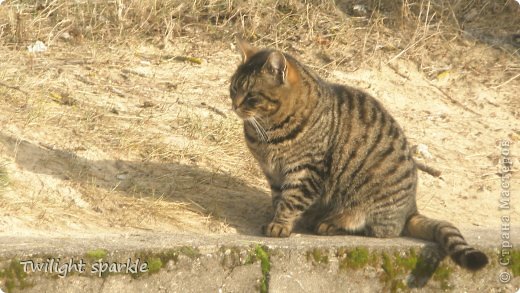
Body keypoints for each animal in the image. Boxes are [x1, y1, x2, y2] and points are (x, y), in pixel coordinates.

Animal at [230, 38, 490, 270]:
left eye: (251, 95)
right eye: (233, 88)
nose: (234, 105)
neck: (268, 131)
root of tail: (411, 209)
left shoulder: (305, 171)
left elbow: (290, 201)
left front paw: (280, 224)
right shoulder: (273, 172)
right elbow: (278, 197)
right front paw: (275, 216)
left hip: (369, 203)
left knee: (380, 230)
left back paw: (330, 224)